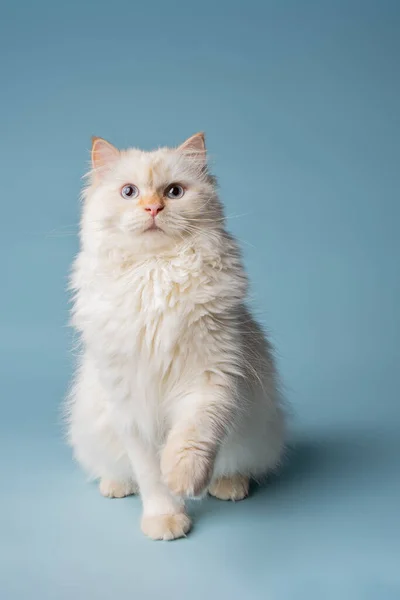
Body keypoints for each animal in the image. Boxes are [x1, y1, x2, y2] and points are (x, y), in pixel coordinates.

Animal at [66, 134, 284, 540]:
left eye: (174, 192)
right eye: (129, 192)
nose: (153, 207)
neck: (156, 271)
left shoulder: (210, 378)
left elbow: (191, 438)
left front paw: (183, 480)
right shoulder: (130, 403)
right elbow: (151, 475)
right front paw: (165, 517)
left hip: (256, 430)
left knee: (240, 464)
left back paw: (227, 485)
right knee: (114, 469)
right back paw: (115, 485)